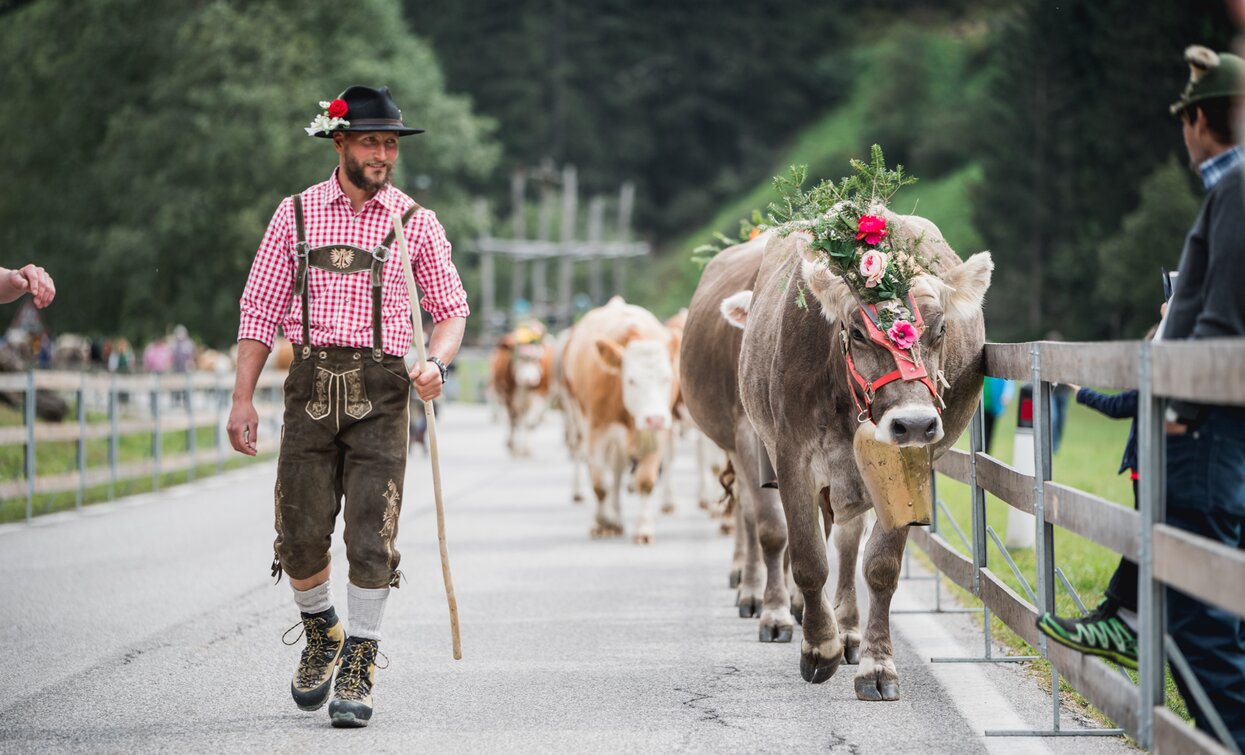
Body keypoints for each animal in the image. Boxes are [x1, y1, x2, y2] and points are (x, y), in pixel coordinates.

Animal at [565, 297, 682, 543]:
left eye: (667, 378)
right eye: (631, 380)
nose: (655, 418)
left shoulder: (657, 435)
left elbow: (646, 480)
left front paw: (644, 529)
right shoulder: (597, 431)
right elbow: (600, 483)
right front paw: (602, 522)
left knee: (618, 472)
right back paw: (612, 518)